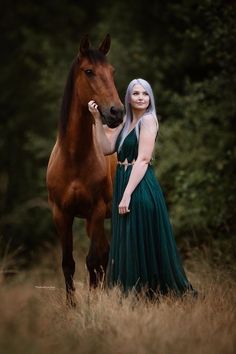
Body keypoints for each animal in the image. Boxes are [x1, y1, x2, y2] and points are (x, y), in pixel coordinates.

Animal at [45, 36, 123, 306]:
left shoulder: (96, 211)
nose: (117, 112)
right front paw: (72, 306)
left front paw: (91, 303)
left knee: (102, 256)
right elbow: (68, 263)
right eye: (89, 71)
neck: (74, 157)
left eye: (112, 71)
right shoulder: (61, 214)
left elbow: (92, 261)